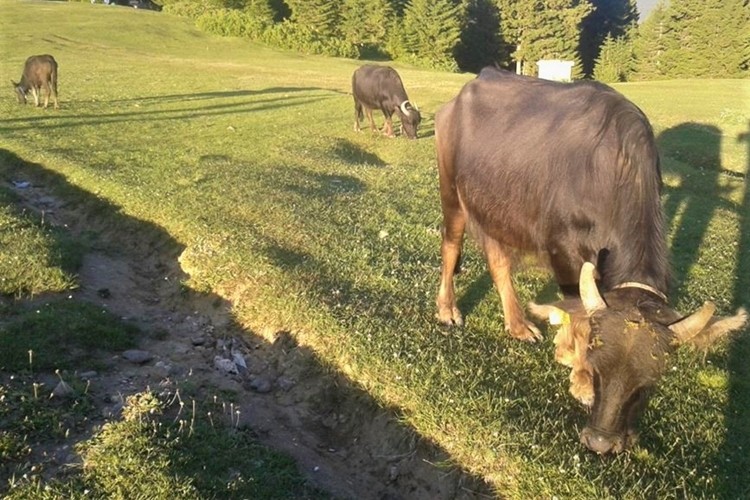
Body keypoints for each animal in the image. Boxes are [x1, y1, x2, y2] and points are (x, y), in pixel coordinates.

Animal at [434, 68, 748, 456]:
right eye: (598, 363)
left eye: (650, 381)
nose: (602, 442)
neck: (612, 168)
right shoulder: (563, 249)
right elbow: (576, 308)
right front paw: (575, 367)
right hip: (451, 192)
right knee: (451, 246)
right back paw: (448, 309)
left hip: (496, 208)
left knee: (498, 261)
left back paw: (519, 325)